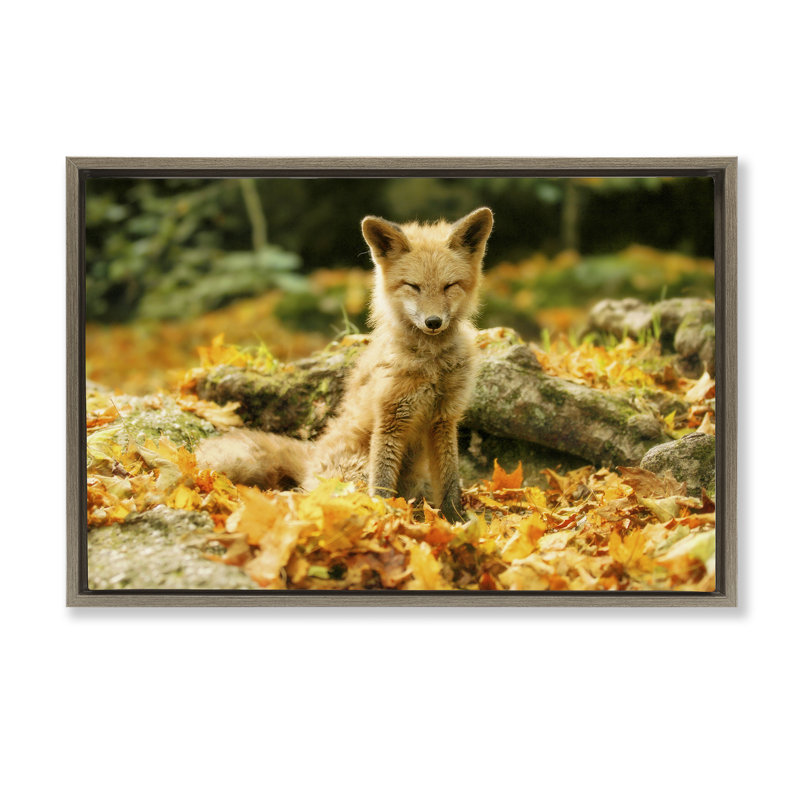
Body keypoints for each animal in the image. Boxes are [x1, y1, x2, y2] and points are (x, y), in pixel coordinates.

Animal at [197, 206, 494, 522]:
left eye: (450, 286)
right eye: (413, 287)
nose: (433, 322)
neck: (432, 365)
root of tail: (312, 455)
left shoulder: (444, 418)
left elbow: (449, 483)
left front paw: (456, 521)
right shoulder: (391, 417)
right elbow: (382, 483)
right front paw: (386, 518)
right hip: (357, 472)